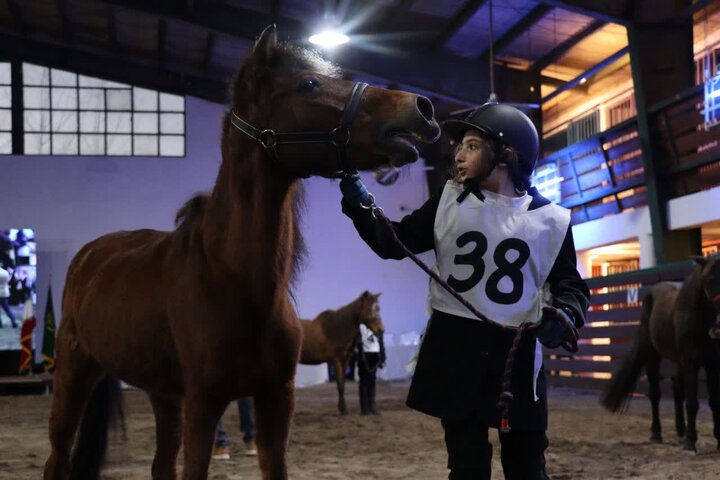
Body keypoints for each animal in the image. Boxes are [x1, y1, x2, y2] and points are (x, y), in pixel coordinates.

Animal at [46, 25, 438, 480]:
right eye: (309, 84)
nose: (420, 108)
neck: (231, 279)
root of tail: (88, 255)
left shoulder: (276, 400)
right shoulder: (203, 404)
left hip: (163, 393)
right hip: (75, 373)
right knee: (57, 456)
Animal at [600, 253, 720, 452]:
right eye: (709, 278)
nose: (717, 328)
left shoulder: (711, 364)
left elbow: (713, 402)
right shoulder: (690, 362)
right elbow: (692, 403)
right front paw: (690, 443)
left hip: (678, 360)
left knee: (677, 389)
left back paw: (681, 431)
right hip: (653, 356)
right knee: (655, 394)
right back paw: (657, 434)